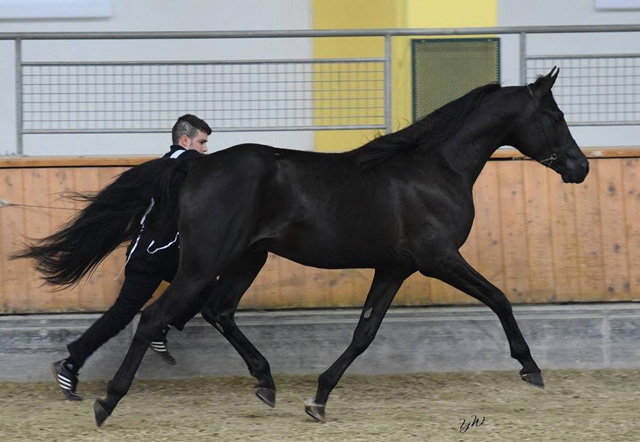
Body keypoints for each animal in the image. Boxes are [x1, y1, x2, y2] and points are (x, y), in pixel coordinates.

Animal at [15, 68, 588, 424]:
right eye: (556, 117)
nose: (580, 167)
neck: (436, 168)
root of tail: (194, 164)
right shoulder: (438, 259)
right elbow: (499, 298)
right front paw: (530, 369)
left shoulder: (394, 268)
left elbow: (364, 334)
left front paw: (318, 399)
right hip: (204, 264)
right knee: (155, 317)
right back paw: (106, 402)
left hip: (248, 257)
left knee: (218, 311)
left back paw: (266, 382)